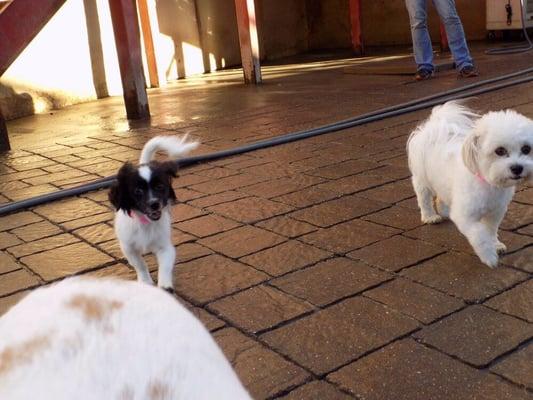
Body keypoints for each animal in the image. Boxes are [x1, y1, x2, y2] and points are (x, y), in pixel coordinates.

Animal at [108, 134, 197, 290]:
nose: (155, 204)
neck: (145, 223)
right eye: (138, 191)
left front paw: (165, 287)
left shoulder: (165, 247)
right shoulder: (128, 248)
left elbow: (165, 268)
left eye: (160, 187)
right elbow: (140, 264)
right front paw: (145, 282)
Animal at [408, 101, 532, 268]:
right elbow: (479, 234)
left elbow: (490, 230)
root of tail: (435, 126)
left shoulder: (496, 212)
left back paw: (444, 210)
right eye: (499, 150)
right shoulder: (465, 216)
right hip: (422, 180)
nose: (517, 168)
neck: (488, 182)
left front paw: (495, 245)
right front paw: (489, 256)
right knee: (424, 198)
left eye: (526, 149)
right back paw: (430, 216)